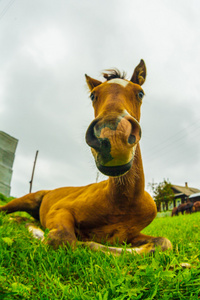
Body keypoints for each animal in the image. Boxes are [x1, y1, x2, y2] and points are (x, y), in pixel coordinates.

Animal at [0, 59, 172, 254]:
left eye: (140, 93)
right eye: (93, 96)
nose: (112, 137)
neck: (122, 202)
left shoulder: (129, 236)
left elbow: (163, 243)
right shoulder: (59, 210)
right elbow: (62, 239)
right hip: (26, 200)